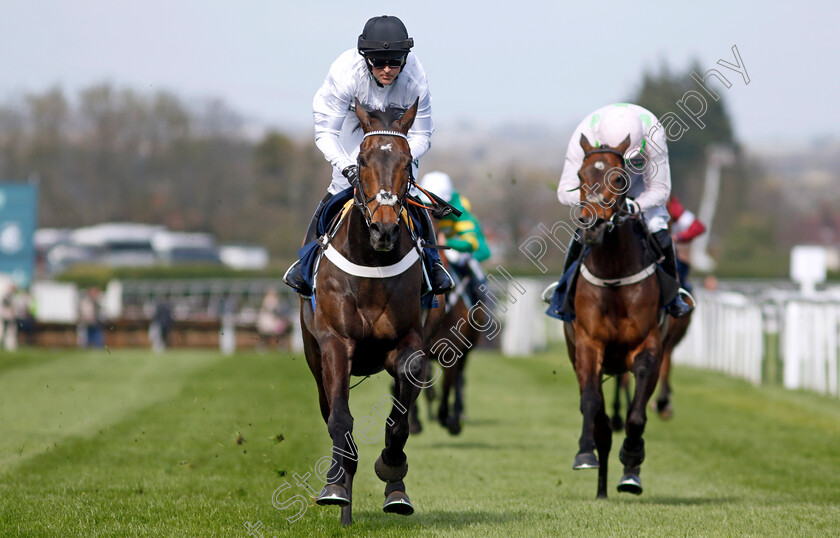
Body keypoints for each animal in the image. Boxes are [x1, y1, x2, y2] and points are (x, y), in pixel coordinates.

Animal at [298, 97, 424, 524]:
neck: (373, 263)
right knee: (329, 411)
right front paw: (336, 486)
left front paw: (392, 469)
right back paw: (342, 499)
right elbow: (340, 418)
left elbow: (400, 418)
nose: (384, 230)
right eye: (363, 159)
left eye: (407, 160)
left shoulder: (406, 341)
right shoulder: (335, 344)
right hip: (313, 357)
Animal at [560, 134, 668, 498]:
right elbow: (592, 405)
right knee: (601, 422)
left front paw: (632, 458)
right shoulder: (587, 343)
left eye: (619, 179)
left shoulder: (648, 346)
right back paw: (601, 487)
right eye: (579, 176)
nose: (591, 225)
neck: (614, 273)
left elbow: (636, 417)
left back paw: (627, 475)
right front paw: (584, 452)